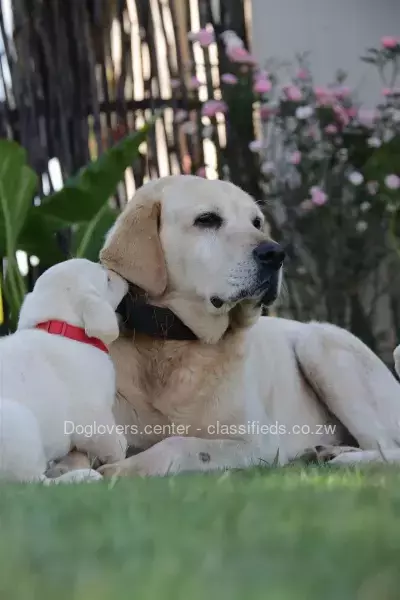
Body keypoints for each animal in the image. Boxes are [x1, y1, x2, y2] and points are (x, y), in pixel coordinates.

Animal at [0, 258, 127, 482]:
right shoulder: (93, 417)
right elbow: (115, 442)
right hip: (20, 426)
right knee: (36, 482)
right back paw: (82, 477)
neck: (61, 327)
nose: (122, 275)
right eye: (108, 279)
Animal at [76, 175, 400, 478]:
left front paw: (121, 470)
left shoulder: (257, 444)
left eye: (256, 222)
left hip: (319, 344)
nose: (275, 253)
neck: (173, 343)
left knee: (387, 449)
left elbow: (180, 445)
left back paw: (342, 459)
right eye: (207, 219)